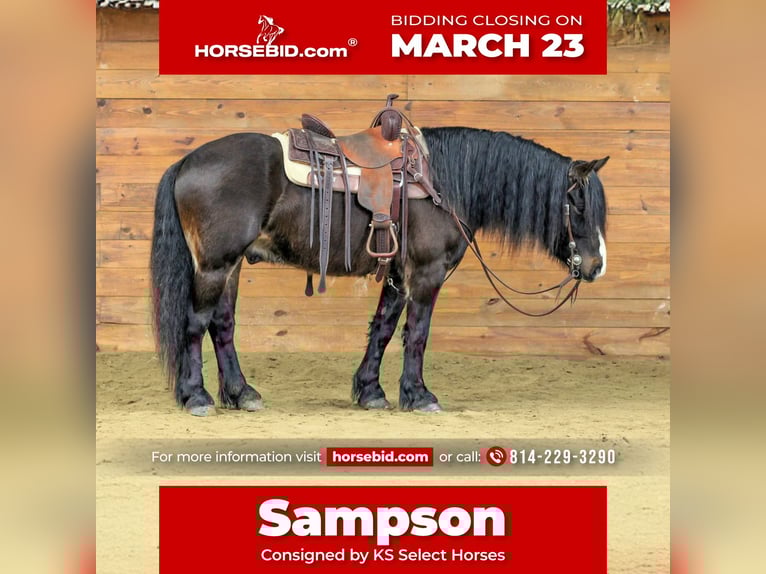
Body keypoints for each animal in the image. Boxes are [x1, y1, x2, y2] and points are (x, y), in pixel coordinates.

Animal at [150, 123, 609, 416]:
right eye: (578, 205)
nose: (597, 265)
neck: (442, 183)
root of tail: (186, 162)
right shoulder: (426, 272)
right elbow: (417, 335)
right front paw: (419, 396)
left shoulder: (397, 274)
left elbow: (384, 328)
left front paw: (370, 391)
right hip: (215, 265)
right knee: (196, 323)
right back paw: (196, 397)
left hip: (229, 268)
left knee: (221, 325)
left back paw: (242, 393)